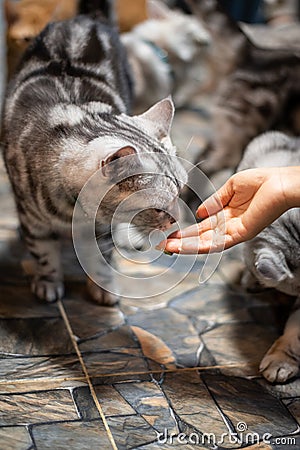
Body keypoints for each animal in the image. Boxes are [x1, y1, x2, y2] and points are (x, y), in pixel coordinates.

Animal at [1, 1, 186, 304]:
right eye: (158, 207)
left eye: (181, 191)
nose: (178, 217)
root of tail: (87, 18)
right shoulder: (32, 219)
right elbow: (43, 255)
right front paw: (48, 282)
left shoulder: (102, 229)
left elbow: (101, 260)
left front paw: (103, 287)